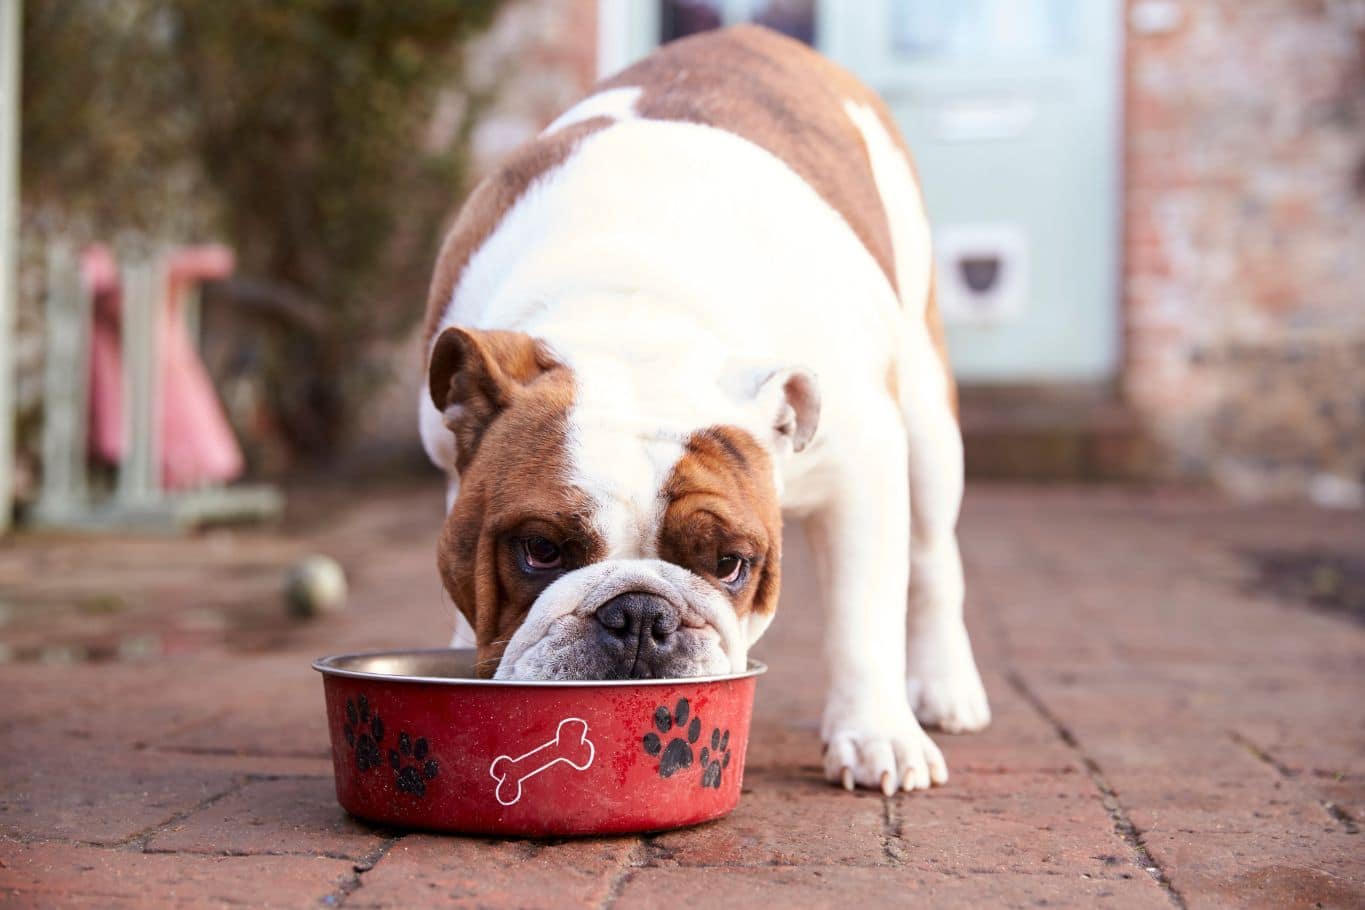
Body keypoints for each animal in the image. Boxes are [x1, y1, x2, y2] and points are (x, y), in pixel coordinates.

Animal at [417, 26, 993, 796]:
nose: (638, 614)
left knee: (932, 558)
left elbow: (863, 614)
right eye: (539, 550)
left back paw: (945, 686)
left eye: (730, 565)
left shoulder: (862, 468)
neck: (635, 319)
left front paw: (877, 734)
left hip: (928, 422)